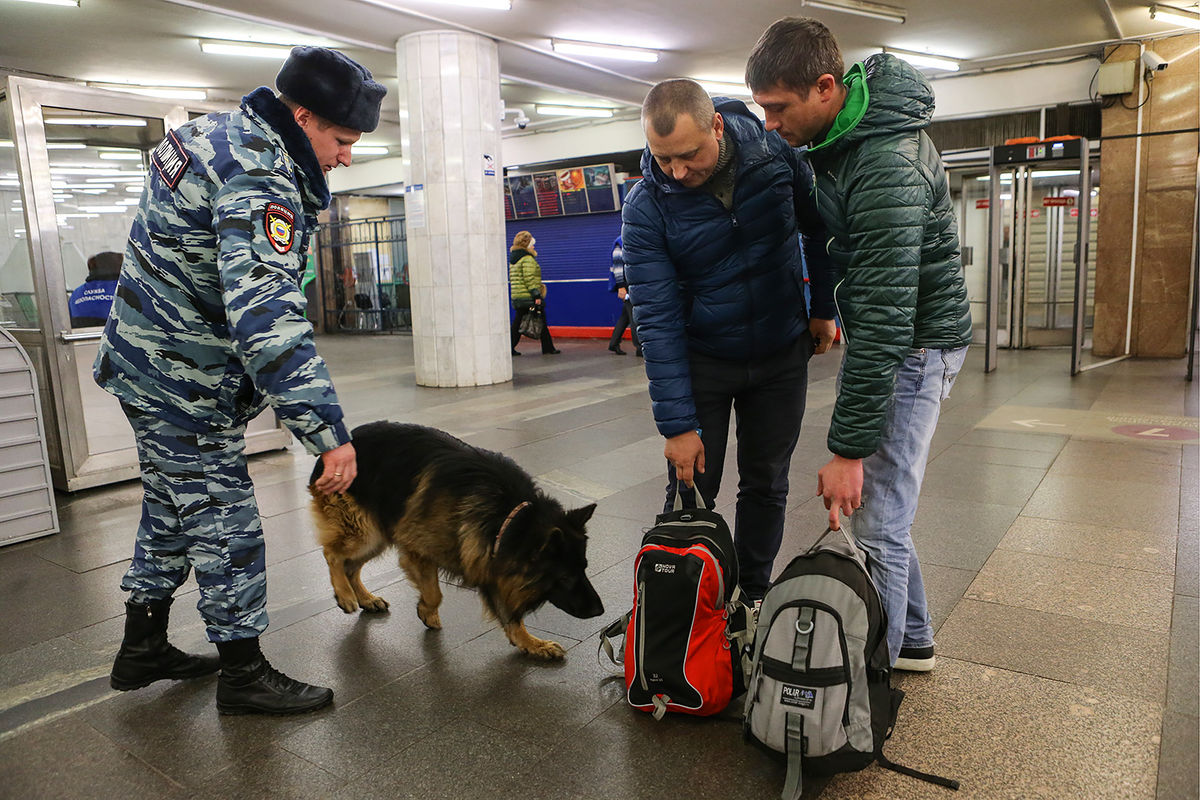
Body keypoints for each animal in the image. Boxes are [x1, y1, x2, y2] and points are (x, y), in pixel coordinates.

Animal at [304, 422, 604, 662]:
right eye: (565, 577)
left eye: (584, 568)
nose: (600, 611)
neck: (508, 518)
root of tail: (341, 445)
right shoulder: (419, 550)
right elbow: (435, 593)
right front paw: (427, 611)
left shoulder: (491, 561)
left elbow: (510, 616)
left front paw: (531, 643)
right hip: (363, 532)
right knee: (333, 555)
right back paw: (345, 595)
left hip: (377, 534)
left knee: (351, 566)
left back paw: (365, 598)